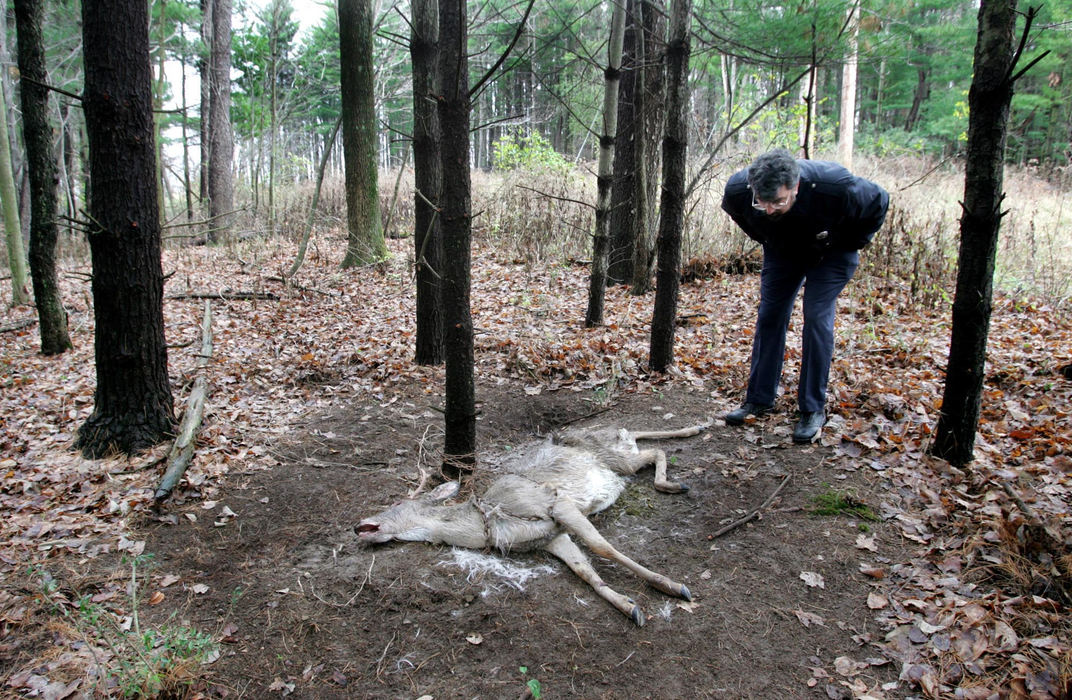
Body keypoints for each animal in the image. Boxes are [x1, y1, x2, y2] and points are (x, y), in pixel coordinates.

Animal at [355, 422, 707, 626]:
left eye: (396, 504)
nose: (359, 525)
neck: (489, 521)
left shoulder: (555, 503)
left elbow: (602, 547)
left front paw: (672, 585)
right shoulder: (551, 538)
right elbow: (584, 571)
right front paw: (629, 607)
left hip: (617, 460)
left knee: (651, 447)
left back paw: (677, 475)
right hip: (620, 457)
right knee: (643, 439)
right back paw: (693, 432)